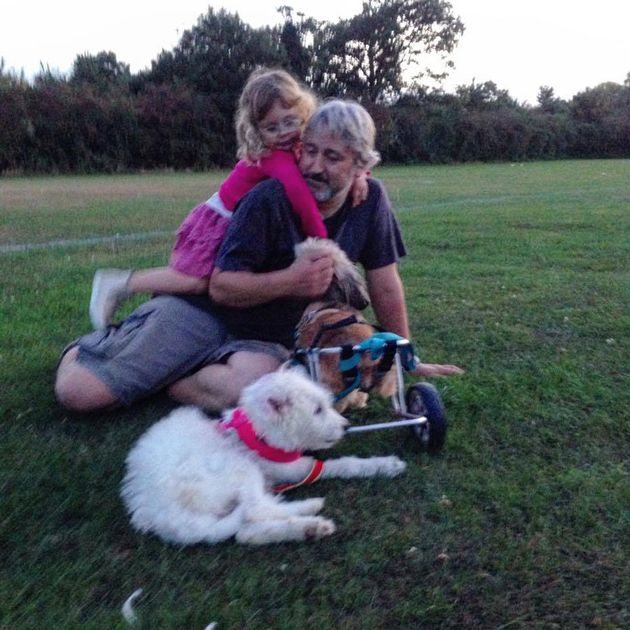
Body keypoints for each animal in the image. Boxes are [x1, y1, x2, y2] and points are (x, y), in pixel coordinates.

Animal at [121, 372, 408, 544]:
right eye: (317, 410)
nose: (346, 427)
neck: (258, 431)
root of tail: (162, 513)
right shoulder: (291, 468)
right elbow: (339, 464)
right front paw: (384, 464)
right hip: (235, 468)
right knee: (254, 509)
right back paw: (309, 509)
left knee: (245, 532)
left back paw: (308, 527)